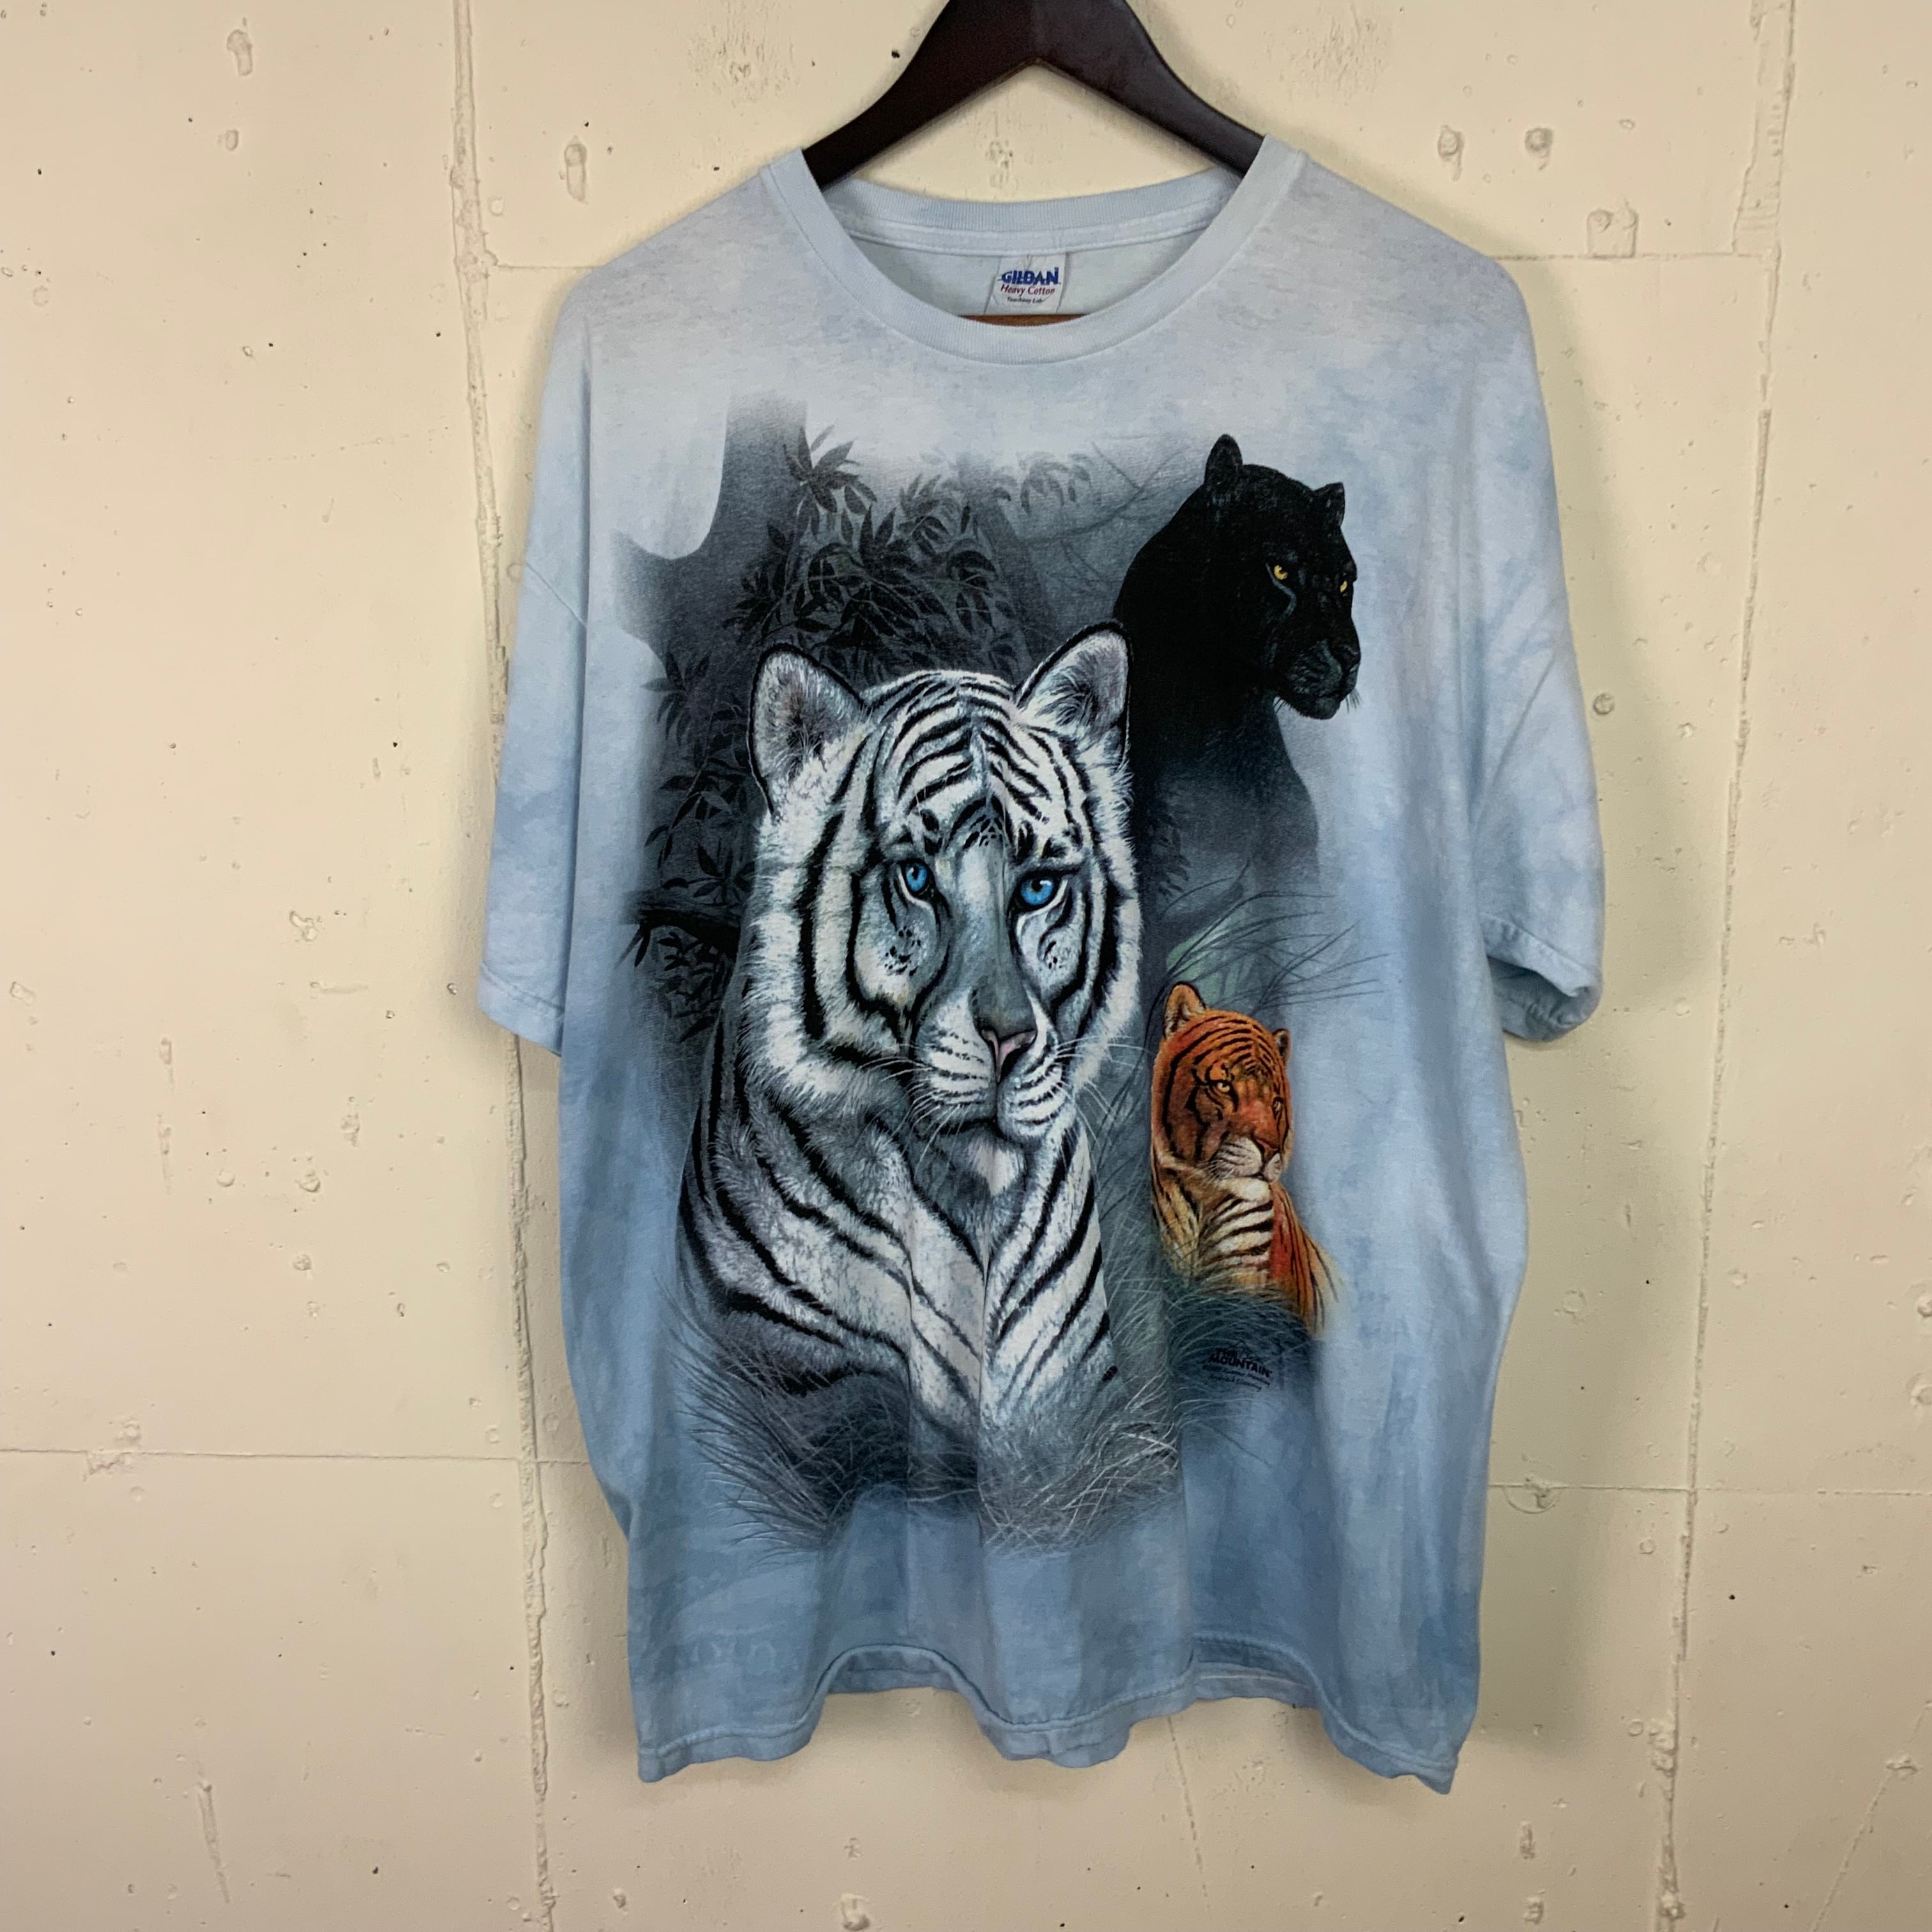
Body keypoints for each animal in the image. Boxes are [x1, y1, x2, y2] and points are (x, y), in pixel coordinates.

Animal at [676, 623, 1142, 1520]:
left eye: (1038, 887)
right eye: (918, 878)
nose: (1007, 1039)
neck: (969, 1194)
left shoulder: (1072, 1413)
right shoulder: (814, 1394)